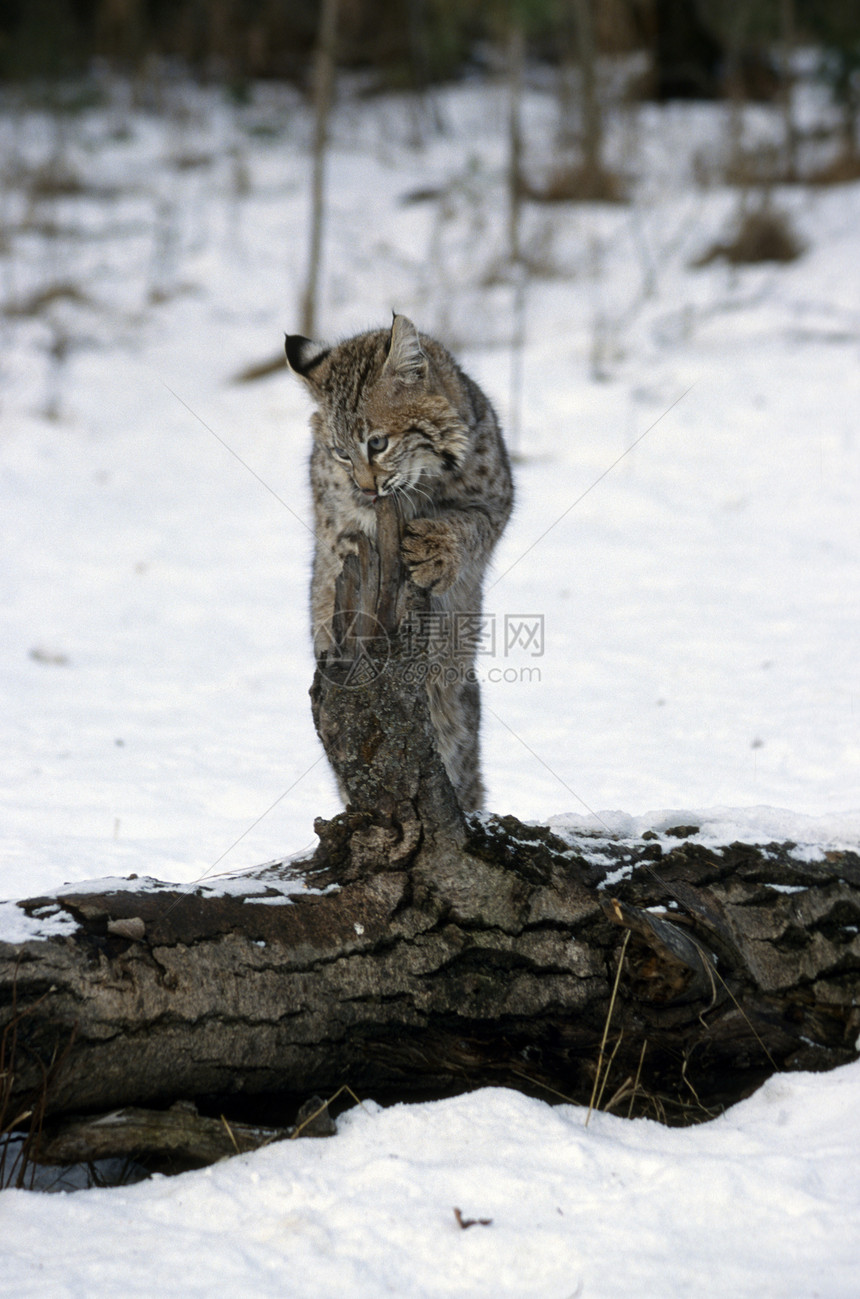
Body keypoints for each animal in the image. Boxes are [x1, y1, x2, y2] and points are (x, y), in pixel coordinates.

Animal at [285, 311, 514, 810]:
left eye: (377, 443)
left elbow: (469, 525)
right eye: (340, 452)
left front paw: (436, 551)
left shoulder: (497, 503)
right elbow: (340, 544)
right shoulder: (331, 514)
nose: (367, 489)